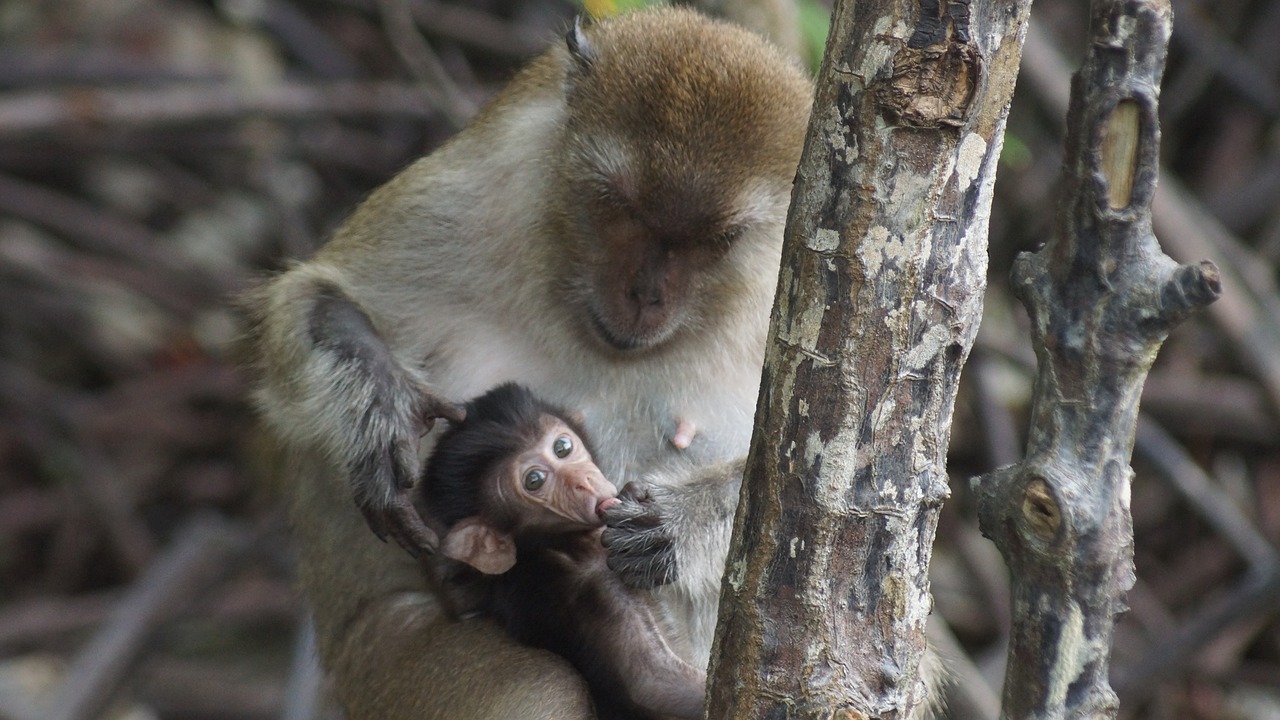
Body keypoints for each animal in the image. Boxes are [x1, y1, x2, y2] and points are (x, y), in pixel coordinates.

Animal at [419, 384, 706, 717]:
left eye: (562, 447)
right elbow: (656, 685)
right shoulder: (595, 588)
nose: (584, 481)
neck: (567, 544)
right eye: (534, 480)